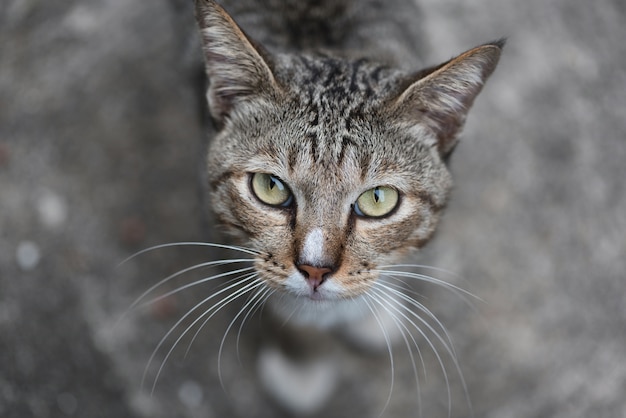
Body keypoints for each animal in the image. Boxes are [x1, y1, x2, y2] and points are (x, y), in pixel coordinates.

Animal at [140, 0, 498, 414]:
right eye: (270, 187)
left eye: (378, 199)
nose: (315, 269)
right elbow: (288, 312)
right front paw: (301, 364)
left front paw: (371, 309)